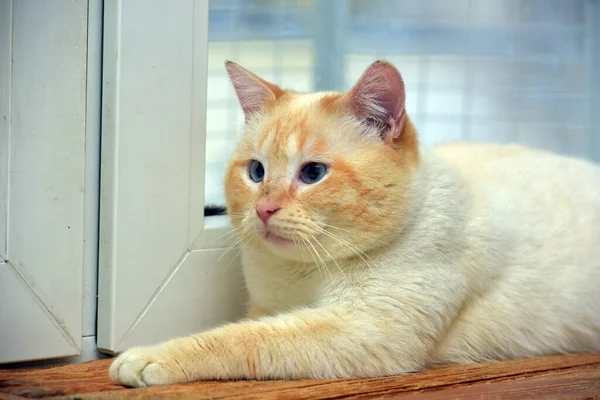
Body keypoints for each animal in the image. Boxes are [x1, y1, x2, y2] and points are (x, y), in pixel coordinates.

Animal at [109, 59, 600, 388]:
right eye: (256, 172)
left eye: (312, 174)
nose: (264, 210)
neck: (304, 274)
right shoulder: (270, 307)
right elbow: (245, 328)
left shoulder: (364, 329)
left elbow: (241, 339)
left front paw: (147, 359)